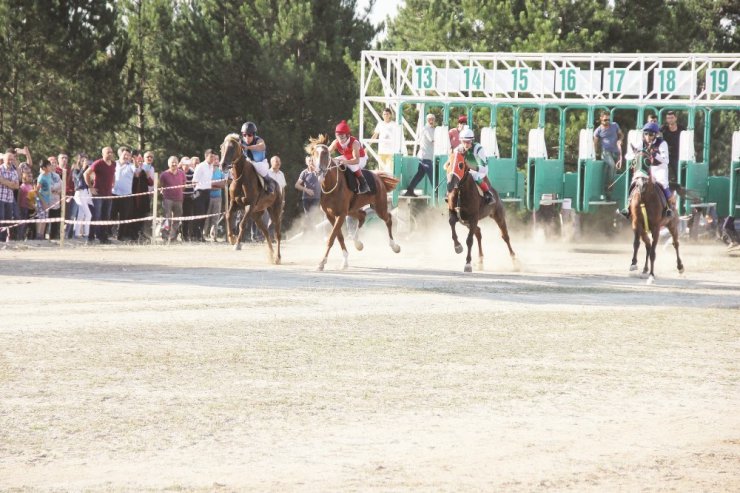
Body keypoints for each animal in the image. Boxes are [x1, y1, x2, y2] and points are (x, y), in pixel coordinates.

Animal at [218, 131, 282, 262]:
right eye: (222, 147)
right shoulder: (234, 203)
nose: (223, 165)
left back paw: (277, 257)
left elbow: (242, 224)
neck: (241, 178)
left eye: (232, 148)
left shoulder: (249, 205)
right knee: (266, 232)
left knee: (277, 233)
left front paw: (237, 244)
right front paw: (231, 239)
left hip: (274, 211)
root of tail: (278, 186)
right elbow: (228, 216)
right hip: (256, 215)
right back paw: (271, 255)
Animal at [304, 134, 402, 270]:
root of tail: (378, 178)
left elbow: (332, 238)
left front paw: (322, 262)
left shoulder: (341, 214)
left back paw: (394, 246)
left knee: (388, 219)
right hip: (352, 210)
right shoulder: (331, 215)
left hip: (379, 206)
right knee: (363, 216)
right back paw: (357, 243)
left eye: (325, 153)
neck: (331, 185)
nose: (319, 171)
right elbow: (339, 237)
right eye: (314, 153)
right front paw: (344, 261)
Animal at [624, 148, 684, 282]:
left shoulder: (656, 227)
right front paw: (633, 264)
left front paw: (652, 275)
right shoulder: (636, 223)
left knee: (676, 243)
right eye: (634, 161)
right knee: (648, 244)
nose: (640, 184)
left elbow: (653, 252)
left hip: (672, 225)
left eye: (647, 161)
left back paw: (680, 267)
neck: (644, 196)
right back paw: (645, 269)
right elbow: (638, 244)